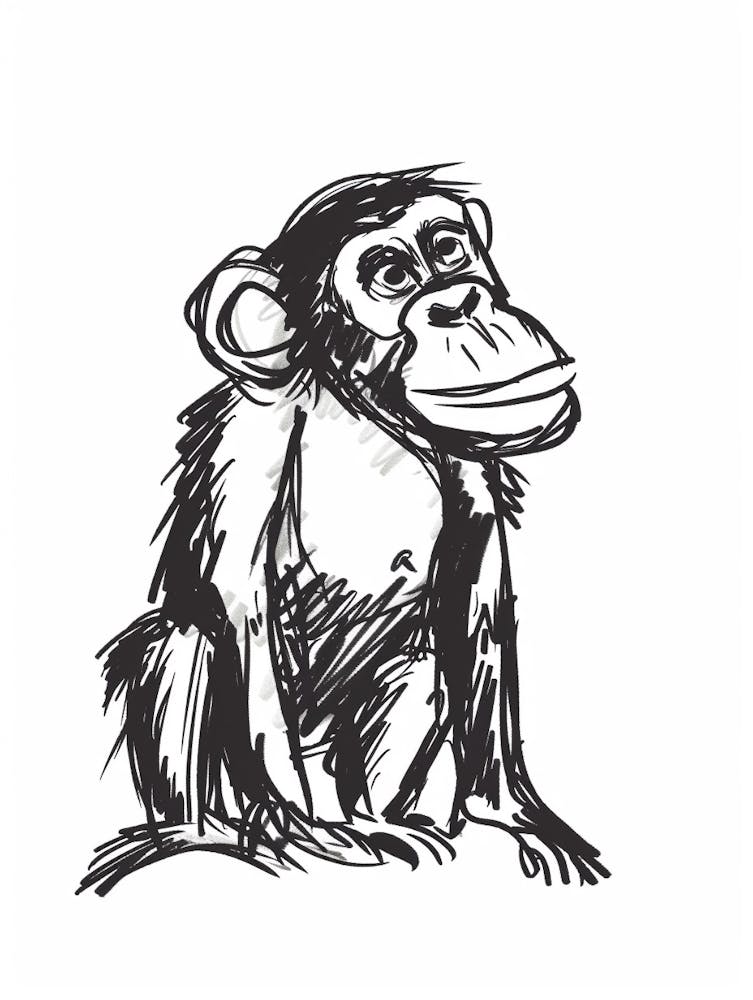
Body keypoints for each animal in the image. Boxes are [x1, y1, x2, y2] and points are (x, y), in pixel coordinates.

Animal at [79, 165, 610, 895]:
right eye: (391, 274)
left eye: (448, 250)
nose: (461, 302)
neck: (354, 405)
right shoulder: (254, 434)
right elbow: (241, 607)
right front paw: (308, 831)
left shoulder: (470, 457)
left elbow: (474, 605)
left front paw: (511, 814)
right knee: (185, 641)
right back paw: (216, 833)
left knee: (419, 667)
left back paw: (380, 822)